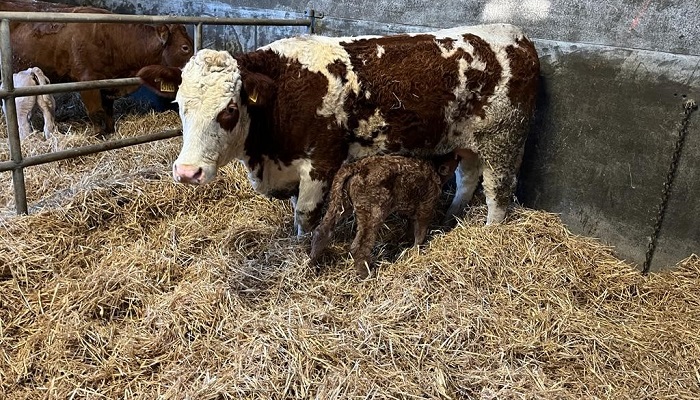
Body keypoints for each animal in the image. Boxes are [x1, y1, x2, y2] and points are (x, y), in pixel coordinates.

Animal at [1, 0, 194, 135]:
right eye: (185, 47)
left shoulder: (107, 82)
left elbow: (108, 111)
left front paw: (109, 131)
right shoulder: (87, 81)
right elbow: (96, 112)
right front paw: (98, 135)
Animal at [137, 24, 540, 234]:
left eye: (230, 110)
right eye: (179, 106)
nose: (187, 172)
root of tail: (515, 35)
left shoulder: (321, 162)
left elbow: (306, 214)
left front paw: (301, 254)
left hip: (504, 140)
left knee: (498, 191)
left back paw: (490, 233)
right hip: (469, 140)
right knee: (469, 177)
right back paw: (452, 218)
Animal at [309, 154, 460, 279]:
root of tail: (356, 167)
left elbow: (411, 228)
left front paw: (407, 242)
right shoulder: (426, 206)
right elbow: (420, 234)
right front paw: (416, 253)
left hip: (339, 202)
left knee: (322, 232)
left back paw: (313, 264)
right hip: (373, 211)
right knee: (359, 246)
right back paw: (367, 275)